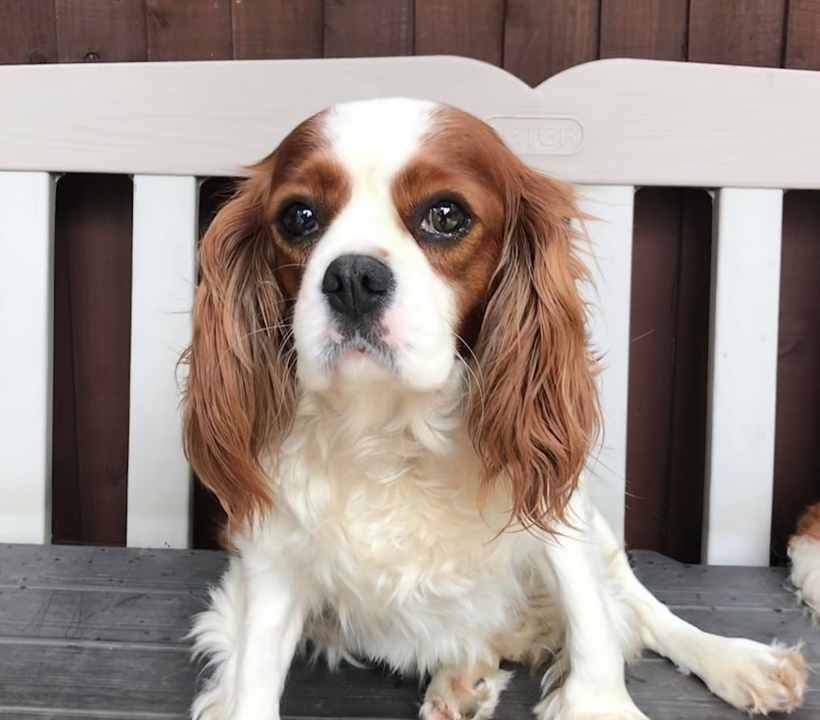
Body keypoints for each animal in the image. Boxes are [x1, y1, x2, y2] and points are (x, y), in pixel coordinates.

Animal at [181, 100, 808, 720]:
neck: (395, 430)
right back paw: (462, 679)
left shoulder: (557, 512)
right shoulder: (271, 551)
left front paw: (598, 700)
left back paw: (740, 662)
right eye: (299, 217)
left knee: (638, 606)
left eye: (446, 214)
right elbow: (253, 671)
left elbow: (593, 619)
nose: (353, 277)